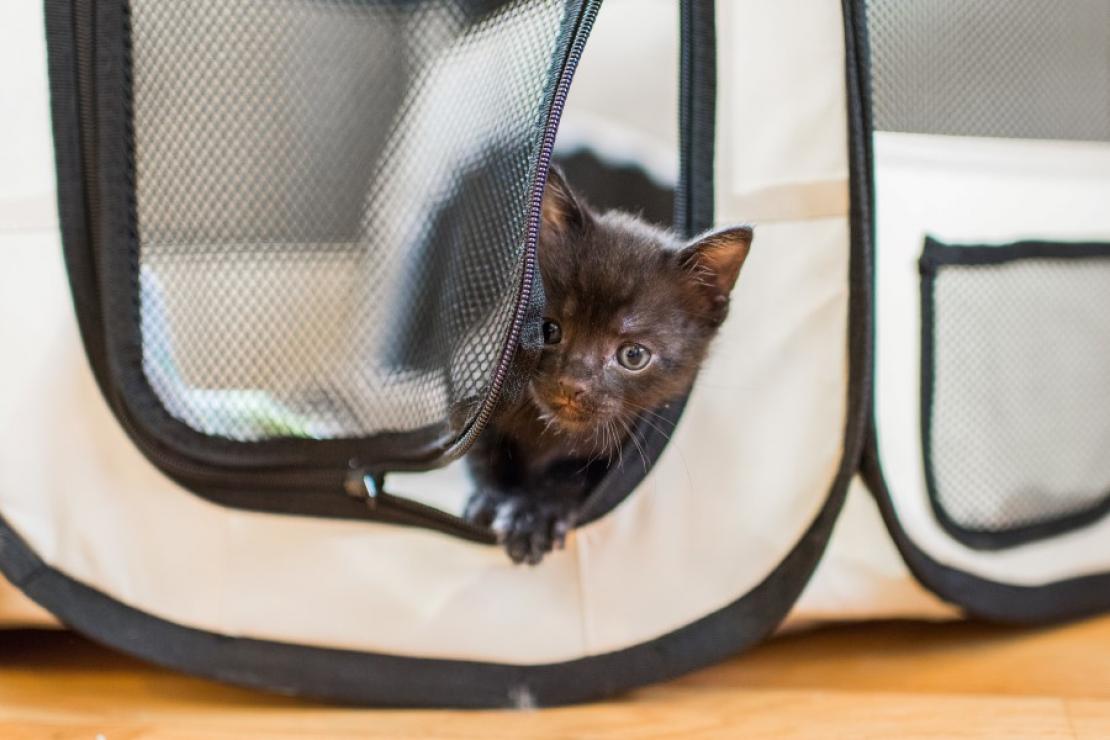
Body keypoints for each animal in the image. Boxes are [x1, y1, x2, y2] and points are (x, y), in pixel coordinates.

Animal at [459, 166, 754, 561]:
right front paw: (492, 498)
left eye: (633, 355)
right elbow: (483, 450)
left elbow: (572, 473)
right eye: (548, 330)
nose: (571, 383)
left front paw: (532, 514)